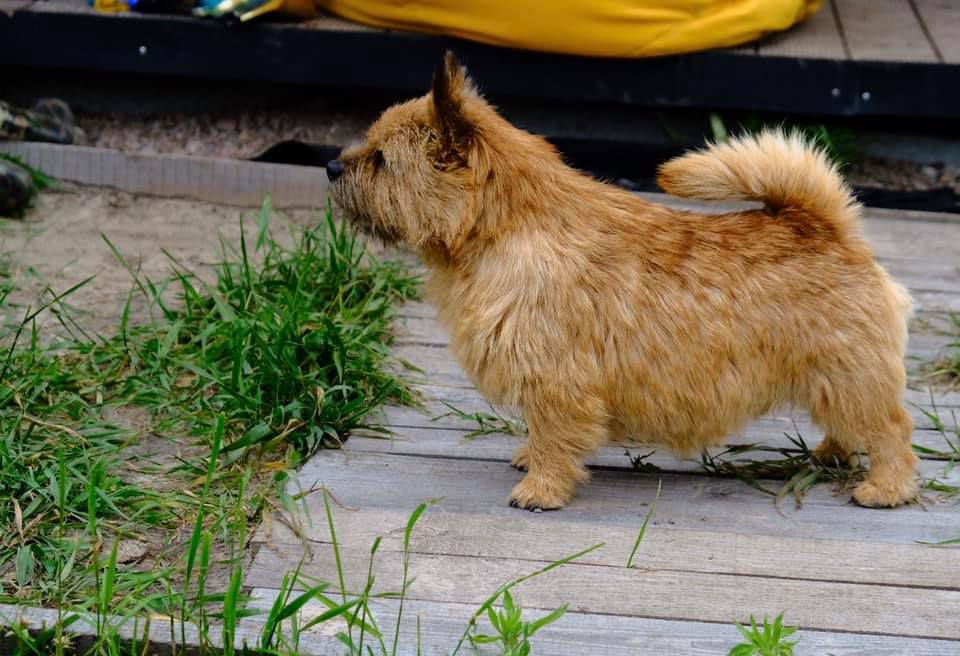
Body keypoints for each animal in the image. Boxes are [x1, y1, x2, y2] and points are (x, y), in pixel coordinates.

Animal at [326, 53, 920, 510]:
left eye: (381, 160)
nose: (331, 167)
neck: (505, 229)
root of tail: (825, 226)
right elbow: (541, 431)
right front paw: (530, 460)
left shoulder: (555, 377)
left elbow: (554, 433)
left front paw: (541, 488)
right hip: (835, 377)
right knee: (852, 425)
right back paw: (830, 454)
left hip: (851, 374)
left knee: (892, 431)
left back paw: (884, 489)